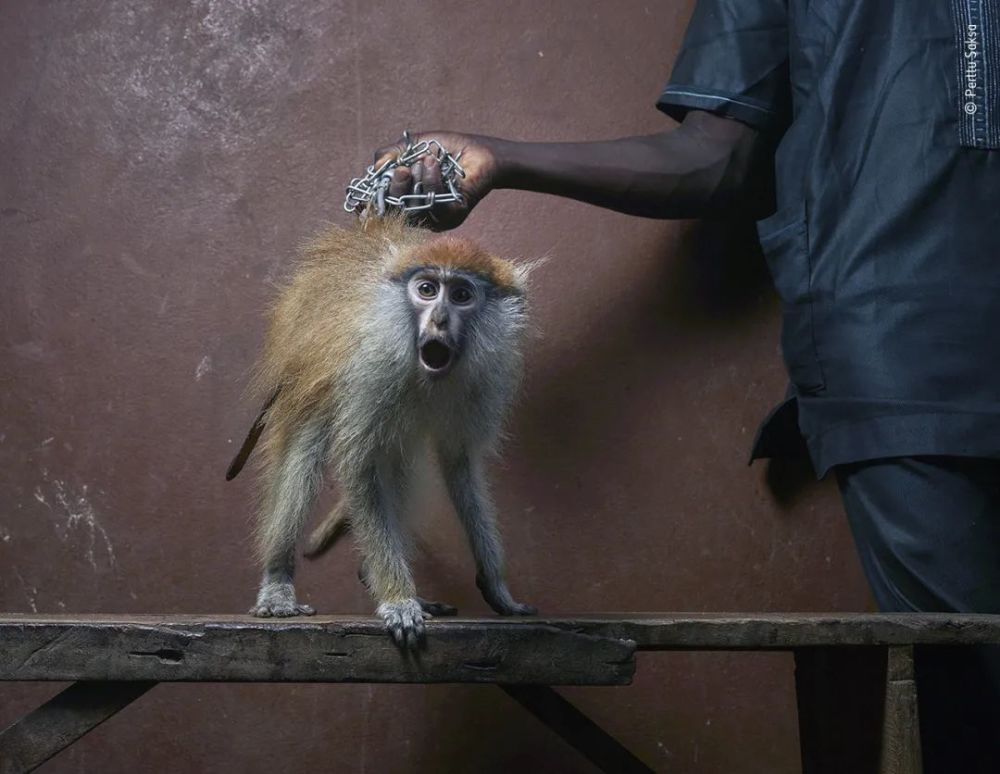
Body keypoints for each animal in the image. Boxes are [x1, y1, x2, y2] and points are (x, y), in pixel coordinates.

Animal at [229, 212, 540, 648]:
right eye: (427, 290)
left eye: (462, 295)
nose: (439, 319)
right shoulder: (370, 367)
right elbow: (360, 467)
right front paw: (397, 598)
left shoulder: (484, 380)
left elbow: (460, 467)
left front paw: (495, 585)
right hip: (301, 369)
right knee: (306, 450)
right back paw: (278, 577)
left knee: (399, 461)